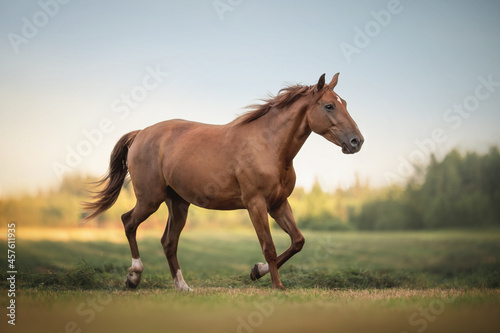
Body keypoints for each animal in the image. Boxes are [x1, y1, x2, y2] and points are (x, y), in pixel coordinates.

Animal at [82, 72, 364, 288]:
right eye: (329, 106)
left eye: (345, 103)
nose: (356, 141)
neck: (269, 146)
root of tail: (141, 134)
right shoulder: (255, 204)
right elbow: (269, 246)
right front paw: (277, 286)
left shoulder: (278, 204)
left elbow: (297, 241)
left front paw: (256, 271)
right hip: (150, 199)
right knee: (128, 222)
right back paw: (133, 277)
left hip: (178, 204)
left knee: (168, 242)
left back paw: (182, 287)